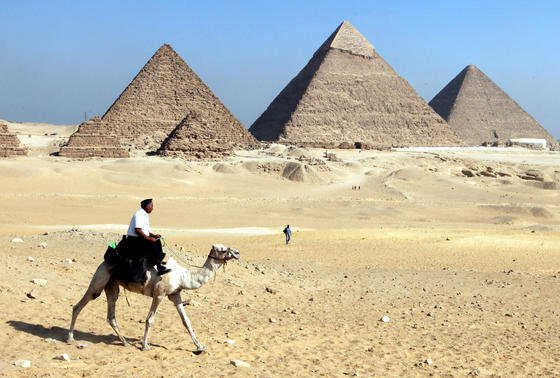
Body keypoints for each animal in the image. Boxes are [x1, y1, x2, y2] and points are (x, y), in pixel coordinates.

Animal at [66, 244, 240, 352]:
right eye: (223, 249)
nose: (237, 253)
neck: (182, 276)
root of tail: (104, 262)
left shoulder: (175, 295)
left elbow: (186, 321)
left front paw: (200, 347)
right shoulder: (159, 294)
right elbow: (149, 320)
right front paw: (145, 346)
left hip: (111, 285)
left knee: (111, 315)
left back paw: (125, 342)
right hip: (99, 280)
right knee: (78, 306)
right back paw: (70, 339)